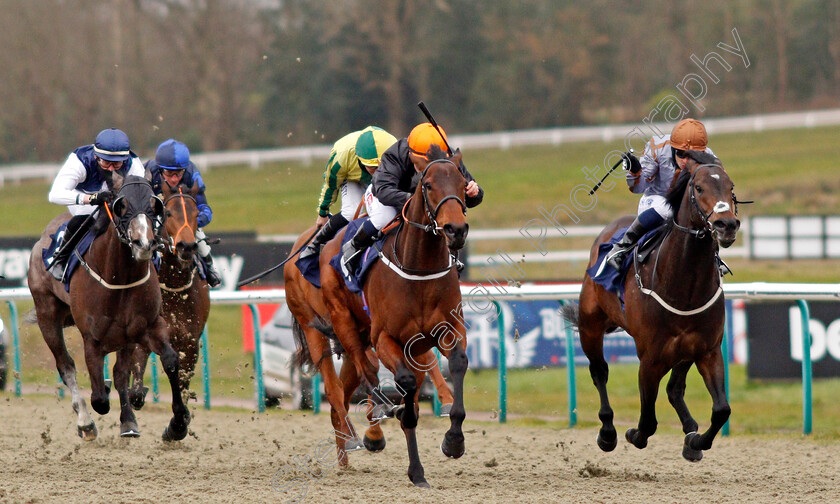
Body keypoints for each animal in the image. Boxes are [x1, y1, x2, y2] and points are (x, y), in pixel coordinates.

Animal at [27, 174, 190, 440]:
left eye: (155, 205)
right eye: (120, 205)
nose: (143, 243)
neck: (119, 278)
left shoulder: (148, 326)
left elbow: (169, 360)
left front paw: (177, 423)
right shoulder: (92, 339)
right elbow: (99, 399)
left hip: (125, 335)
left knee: (119, 372)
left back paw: (128, 421)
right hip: (46, 314)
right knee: (66, 366)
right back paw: (85, 422)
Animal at [131, 182, 212, 410]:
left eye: (196, 214)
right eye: (168, 213)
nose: (187, 246)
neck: (173, 287)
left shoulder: (189, 342)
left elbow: (182, 383)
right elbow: (136, 388)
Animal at [284, 226, 456, 466]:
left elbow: (423, 363)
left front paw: (443, 401)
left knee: (346, 391)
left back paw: (345, 456)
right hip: (313, 328)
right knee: (334, 388)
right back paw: (354, 438)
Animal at [318, 147, 470, 488]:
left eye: (462, 182)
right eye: (428, 185)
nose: (456, 230)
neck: (419, 269)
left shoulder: (450, 329)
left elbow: (457, 363)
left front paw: (453, 441)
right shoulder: (386, 338)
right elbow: (405, 390)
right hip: (344, 321)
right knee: (365, 368)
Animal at [564, 152, 740, 462]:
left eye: (731, 188)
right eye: (699, 188)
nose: (726, 225)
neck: (685, 285)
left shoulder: (707, 349)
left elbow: (721, 409)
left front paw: (696, 441)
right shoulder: (650, 358)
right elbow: (647, 421)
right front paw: (632, 434)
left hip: (685, 349)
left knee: (674, 388)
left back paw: (690, 432)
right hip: (590, 326)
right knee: (599, 371)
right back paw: (607, 432)